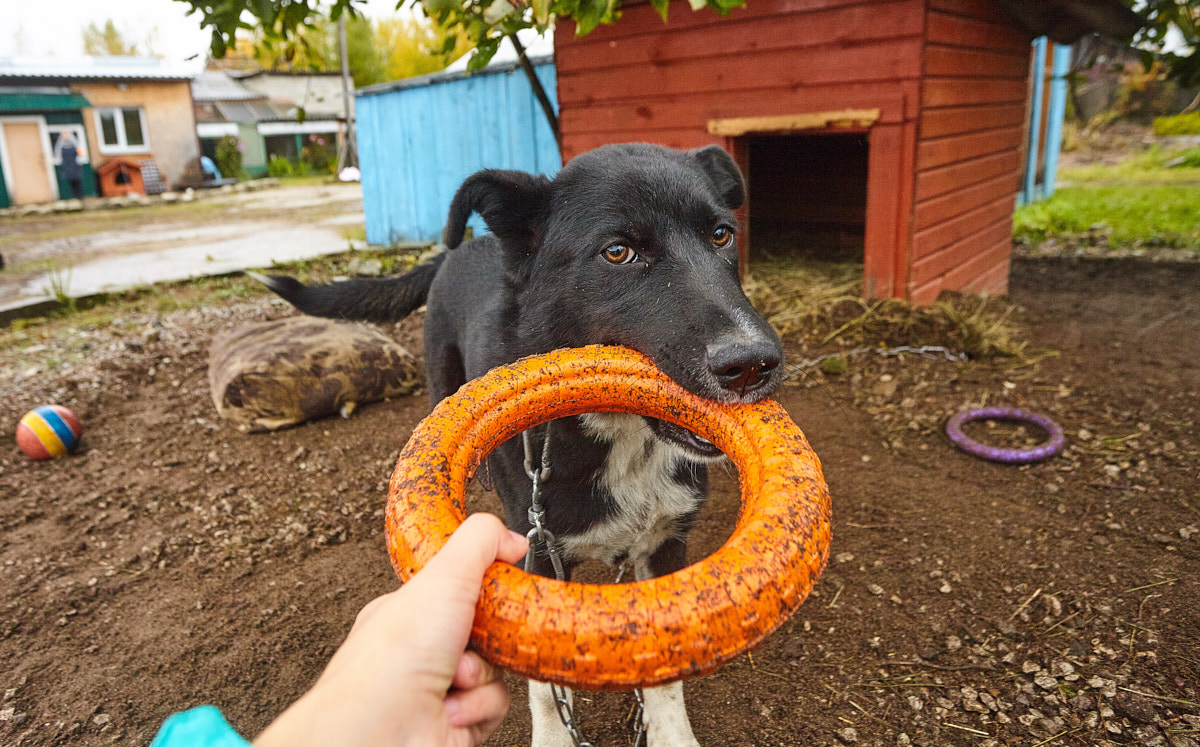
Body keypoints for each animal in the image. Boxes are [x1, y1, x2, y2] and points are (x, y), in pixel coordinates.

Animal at [254, 143, 782, 744]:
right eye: (617, 251)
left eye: (721, 235)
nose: (754, 364)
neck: (620, 436)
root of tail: (464, 246)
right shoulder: (536, 551)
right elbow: (548, 692)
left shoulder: (666, 546)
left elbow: (669, 674)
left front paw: (672, 734)